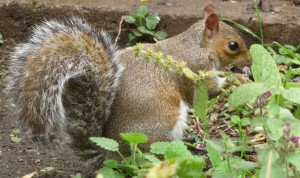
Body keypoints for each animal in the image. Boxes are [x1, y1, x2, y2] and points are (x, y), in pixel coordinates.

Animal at [5, 4, 252, 168]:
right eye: (233, 45)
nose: (250, 62)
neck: (197, 46)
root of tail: (113, 155)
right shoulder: (195, 71)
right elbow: (208, 90)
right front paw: (238, 80)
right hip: (161, 129)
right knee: (151, 159)